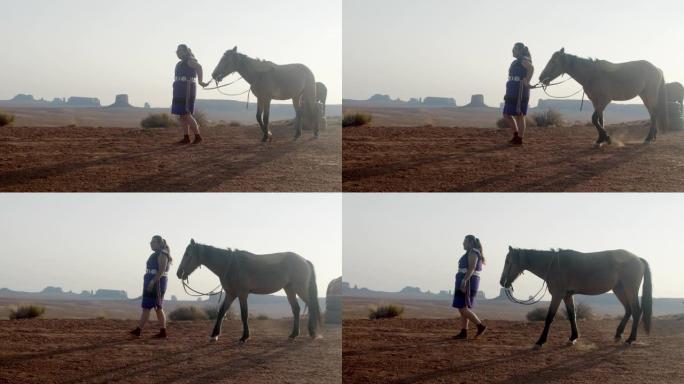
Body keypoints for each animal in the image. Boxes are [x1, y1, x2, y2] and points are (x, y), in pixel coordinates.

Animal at [179, 240, 324, 342]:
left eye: (188, 255)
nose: (178, 273)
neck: (230, 265)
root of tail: (304, 260)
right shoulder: (231, 294)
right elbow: (221, 312)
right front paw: (214, 335)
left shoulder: (242, 294)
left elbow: (244, 314)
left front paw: (244, 336)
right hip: (289, 289)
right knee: (296, 309)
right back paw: (294, 334)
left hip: (300, 288)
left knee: (311, 305)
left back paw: (312, 333)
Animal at [502, 248, 652, 350]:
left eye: (508, 262)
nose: (502, 282)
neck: (554, 265)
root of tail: (638, 259)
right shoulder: (567, 295)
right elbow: (571, 315)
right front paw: (573, 338)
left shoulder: (557, 295)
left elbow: (549, 317)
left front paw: (540, 341)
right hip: (619, 289)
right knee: (628, 310)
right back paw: (618, 335)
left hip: (630, 289)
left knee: (636, 311)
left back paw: (630, 339)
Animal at [540, 48, 668, 144]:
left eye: (552, 62)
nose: (541, 78)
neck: (592, 74)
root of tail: (657, 69)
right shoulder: (596, 102)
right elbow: (600, 120)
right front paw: (600, 140)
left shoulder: (603, 101)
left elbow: (594, 119)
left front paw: (606, 137)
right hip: (644, 96)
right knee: (652, 113)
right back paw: (652, 136)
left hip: (649, 95)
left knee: (654, 113)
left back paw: (648, 138)